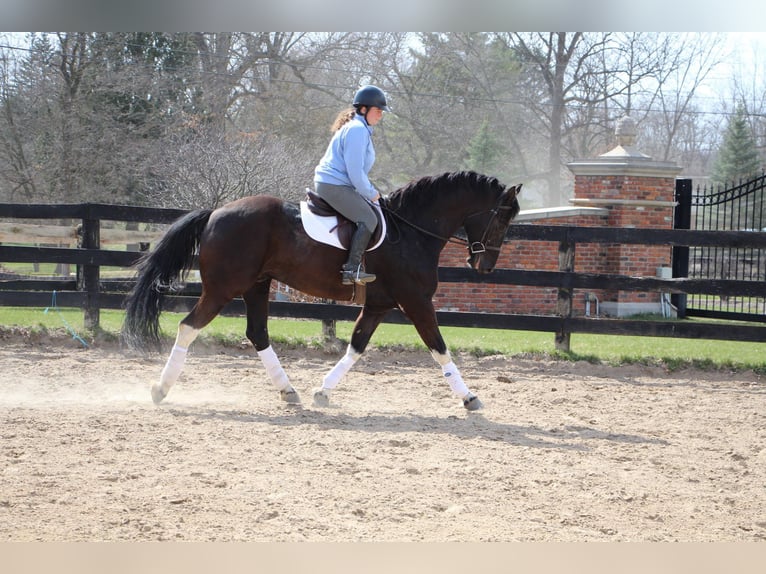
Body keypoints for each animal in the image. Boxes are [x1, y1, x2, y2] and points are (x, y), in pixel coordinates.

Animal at [123, 172, 524, 414]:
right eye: (503, 219)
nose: (485, 266)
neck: (412, 231)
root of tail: (215, 213)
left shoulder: (379, 305)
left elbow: (356, 347)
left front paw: (323, 392)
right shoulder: (416, 302)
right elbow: (439, 348)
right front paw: (469, 397)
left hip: (256, 286)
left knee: (258, 334)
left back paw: (289, 391)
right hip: (224, 288)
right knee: (189, 327)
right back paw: (160, 389)